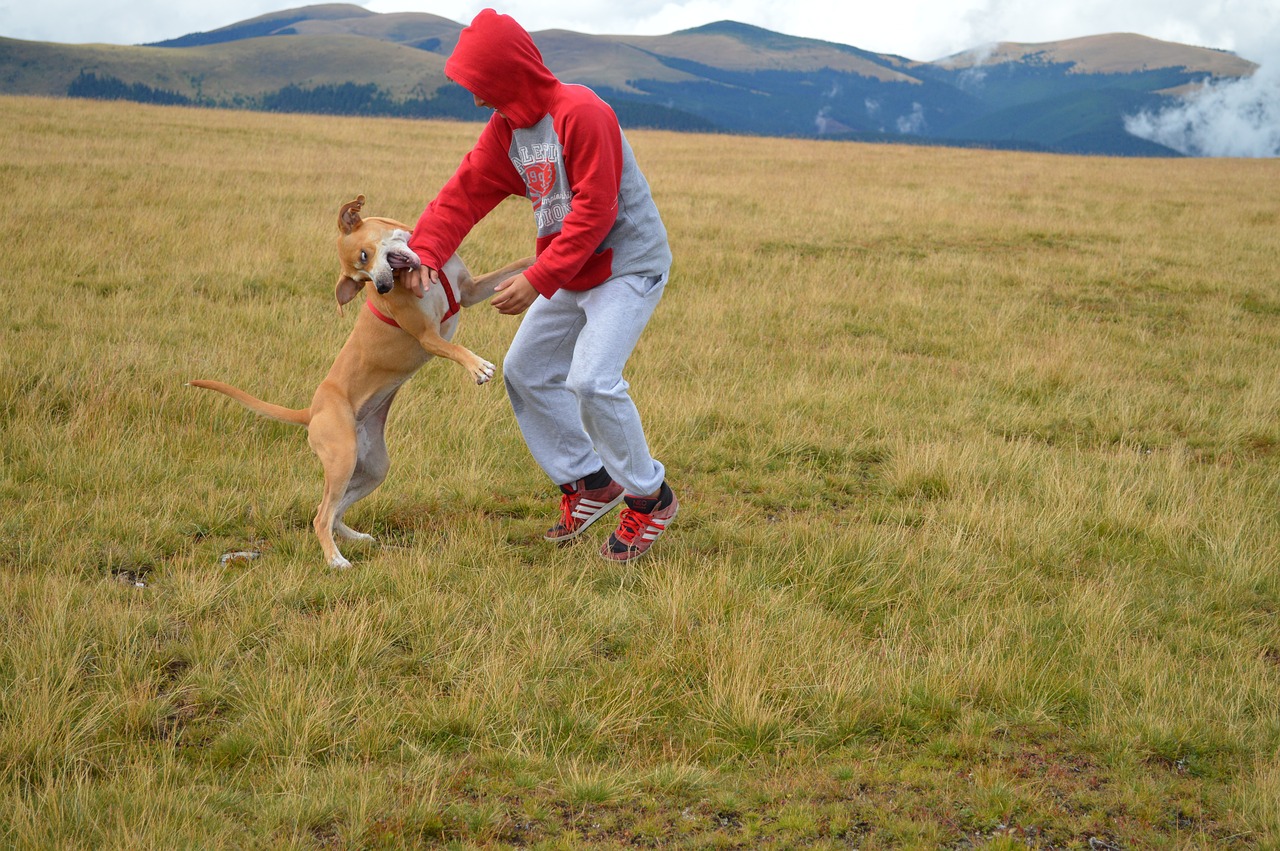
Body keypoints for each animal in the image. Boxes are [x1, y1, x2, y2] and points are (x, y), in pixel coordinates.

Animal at [188, 194, 529, 568]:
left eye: (364, 259)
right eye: (362, 278)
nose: (382, 286)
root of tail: (312, 411)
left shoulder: (469, 290)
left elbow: (516, 266)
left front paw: (539, 259)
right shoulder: (427, 337)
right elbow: (453, 348)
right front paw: (477, 367)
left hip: (372, 468)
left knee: (334, 512)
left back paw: (355, 539)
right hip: (341, 460)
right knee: (321, 515)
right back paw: (335, 560)